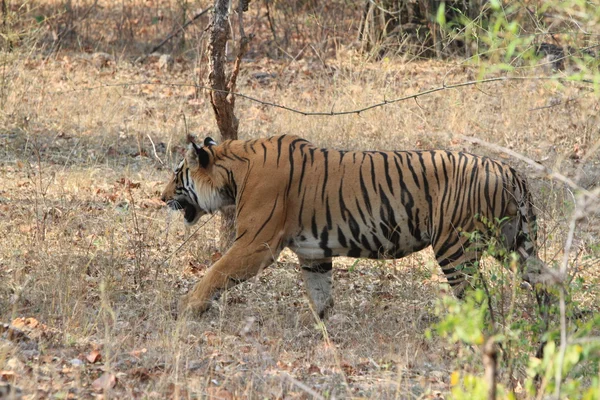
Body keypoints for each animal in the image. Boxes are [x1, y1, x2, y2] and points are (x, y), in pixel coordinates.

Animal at [161, 134, 544, 318]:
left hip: (456, 249)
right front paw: (320, 326)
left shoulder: (255, 244)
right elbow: (320, 292)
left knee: (478, 302)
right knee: (546, 283)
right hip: (516, 244)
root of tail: (511, 171)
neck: (234, 171)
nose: (160, 197)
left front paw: (187, 307)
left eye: (177, 175)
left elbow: (216, 272)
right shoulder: (313, 253)